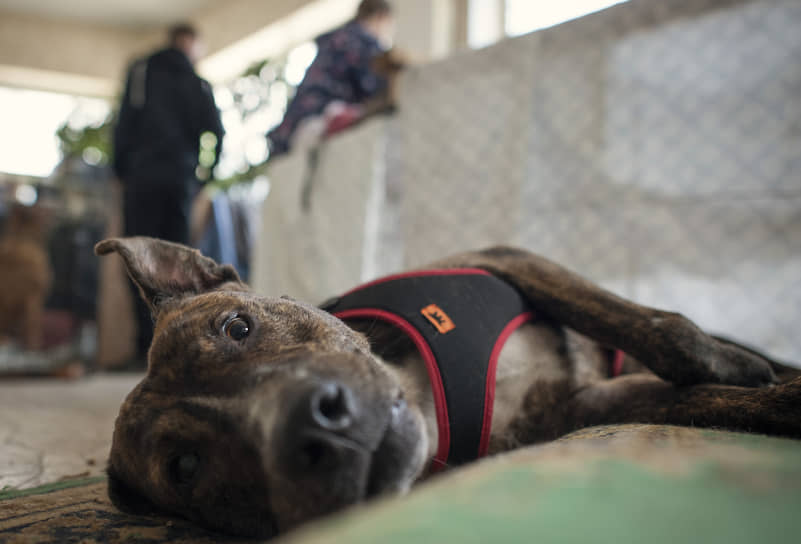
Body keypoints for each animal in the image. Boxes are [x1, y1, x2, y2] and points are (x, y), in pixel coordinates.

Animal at [95, 237, 800, 536]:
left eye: (236, 326)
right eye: (185, 466)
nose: (315, 424)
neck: (431, 401)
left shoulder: (509, 261)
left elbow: (662, 331)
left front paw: (739, 371)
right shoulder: (587, 408)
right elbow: (693, 403)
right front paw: (773, 401)